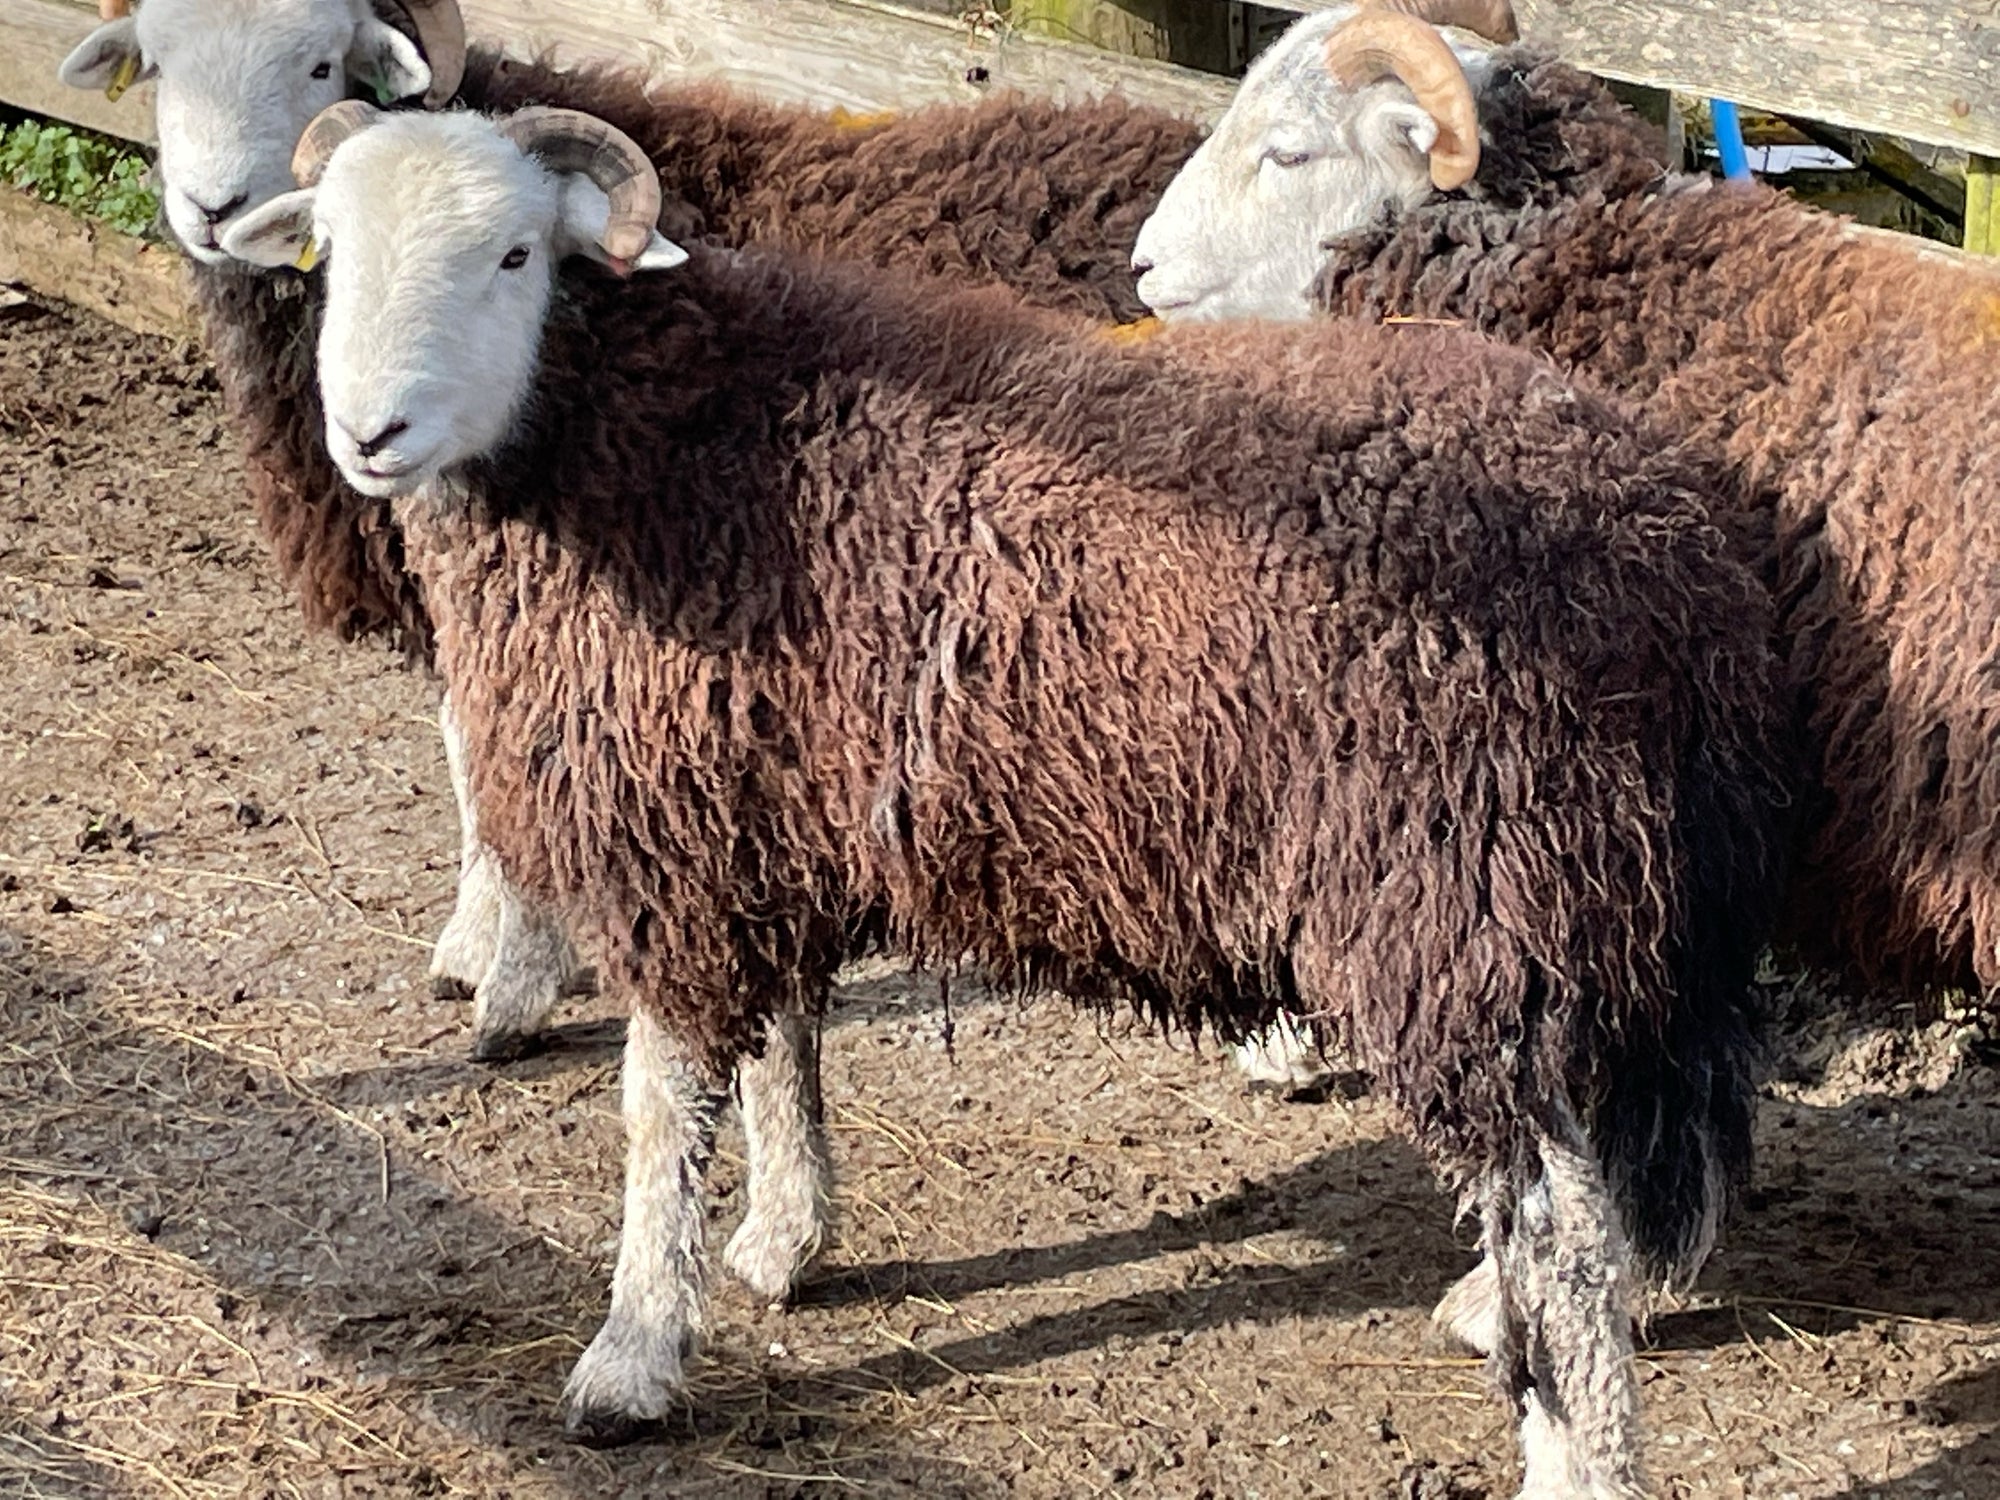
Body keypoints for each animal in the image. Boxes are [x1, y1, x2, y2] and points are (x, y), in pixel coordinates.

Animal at [224, 100, 1791, 1492]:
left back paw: (1574, 1455)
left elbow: (661, 1107)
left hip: (1455, 894)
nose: (372, 432)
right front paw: (785, 1240)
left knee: (1562, 1238)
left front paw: (634, 1351)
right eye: (329, 255)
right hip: (1560, 907)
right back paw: (1491, 1311)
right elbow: (784, 1049)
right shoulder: (773, 806)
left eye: (512, 256)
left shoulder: (681, 826)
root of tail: (1659, 540)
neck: (662, 438)